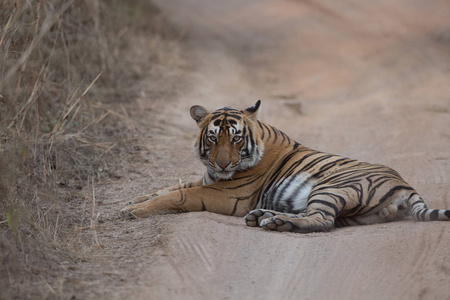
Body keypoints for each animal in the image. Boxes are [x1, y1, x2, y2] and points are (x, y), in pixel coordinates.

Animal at [120, 101, 450, 232]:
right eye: (212, 138)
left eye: (236, 138)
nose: (223, 163)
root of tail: (406, 185)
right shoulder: (208, 179)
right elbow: (170, 186)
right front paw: (132, 200)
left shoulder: (226, 195)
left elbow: (178, 195)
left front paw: (132, 211)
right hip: (354, 210)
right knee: (324, 217)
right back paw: (265, 216)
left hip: (334, 186)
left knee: (323, 220)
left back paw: (277, 223)